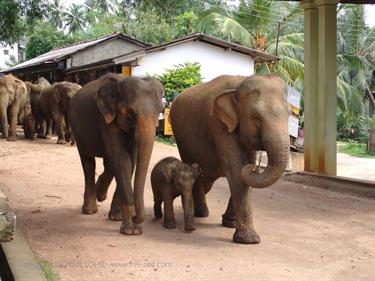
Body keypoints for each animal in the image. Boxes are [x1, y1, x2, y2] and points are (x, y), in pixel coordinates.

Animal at [68, 74, 164, 234]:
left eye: (160, 111)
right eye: (131, 113)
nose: (135, 217)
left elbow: (130, 160)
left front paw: (118, 219)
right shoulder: (105, 120)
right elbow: (122, 158)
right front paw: (131, 231)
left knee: (109, 163)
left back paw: (100, 194)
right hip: (77, 130)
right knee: (88, 163)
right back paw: (90, 209)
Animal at [170, 74, 290, 243]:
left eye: (289, 114)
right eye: (256, 117)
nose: (255, 168)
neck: (239, 83)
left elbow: (244, 171)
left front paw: (230, 224)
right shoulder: (218, 124)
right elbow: (236, 169)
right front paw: (249, 240)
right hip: (182, 140)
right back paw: (200, 213)